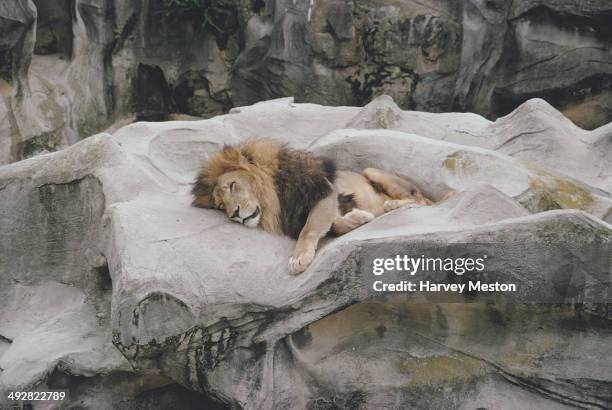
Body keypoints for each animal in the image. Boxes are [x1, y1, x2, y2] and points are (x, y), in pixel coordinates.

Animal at [191, 139, 430, 276]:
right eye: (221, 206)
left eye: (232, 186)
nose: (235, 214)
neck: (275, 199)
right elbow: (335, 225)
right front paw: (359, 217)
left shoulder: (324, 193)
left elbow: (310, 228)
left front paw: (298, 259)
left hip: (371, 170)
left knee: (421, 201)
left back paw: (392, 204)